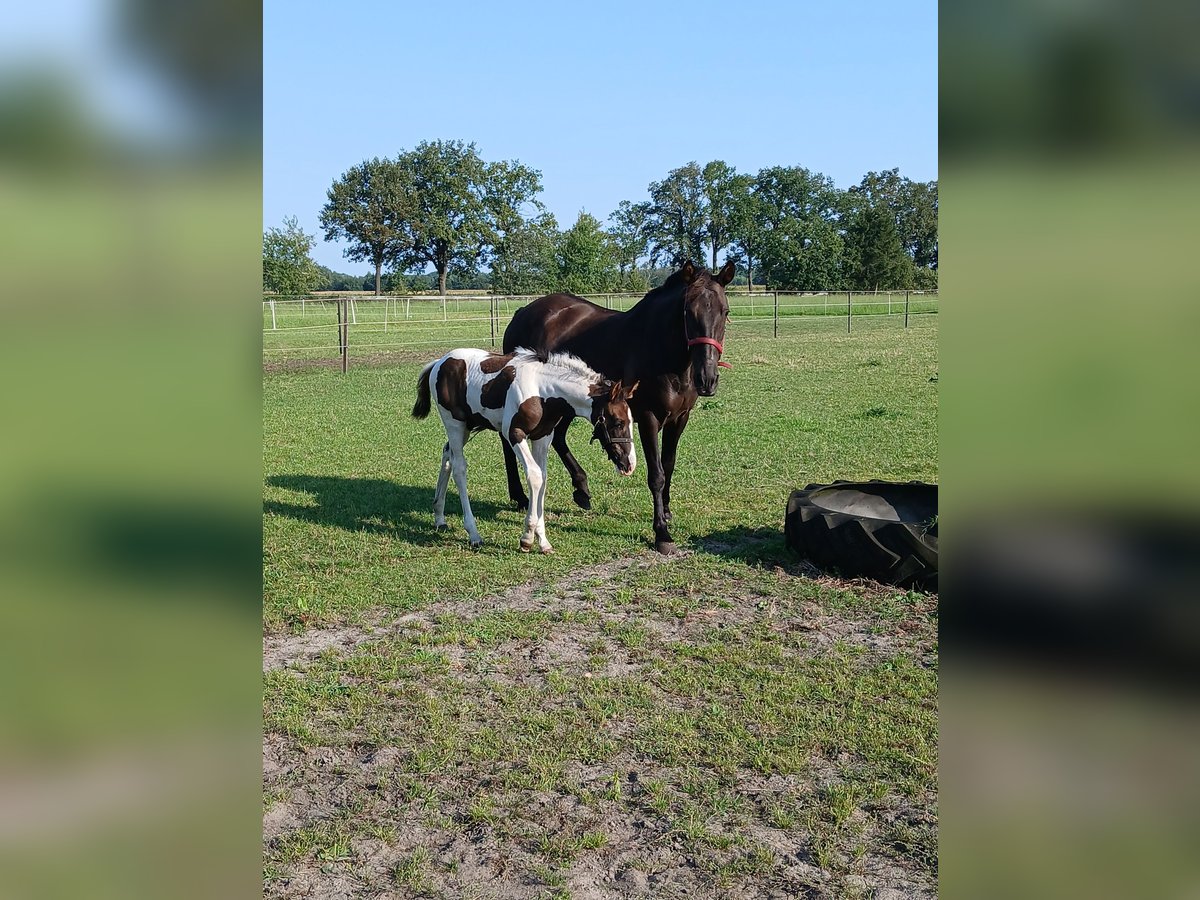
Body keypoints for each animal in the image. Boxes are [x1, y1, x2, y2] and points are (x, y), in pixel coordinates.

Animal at [412, 350, 638, 549]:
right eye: (618, 422)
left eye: (630, 421)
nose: (629, 464)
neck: (542, 390)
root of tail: (439, 362)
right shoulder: (514, 434)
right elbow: (534, 475)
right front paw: (527, 537)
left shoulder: (543, 436)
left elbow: (543, 477)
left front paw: (543, 540)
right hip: (454, 423)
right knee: (459, 467)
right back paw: (473, 534)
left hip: (468, 426)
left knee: (447, 454)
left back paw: (439, 517)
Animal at [501, 259, 734, 556]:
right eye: (688, 313)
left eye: (725, 312)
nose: (707, 379)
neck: (663, 354)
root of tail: (522, 312)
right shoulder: (647, 418)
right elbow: (656, 474)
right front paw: (661, 533)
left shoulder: (680, 418)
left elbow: (668, 465)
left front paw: (667, 512)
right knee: (509, 441)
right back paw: (520, 496)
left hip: (565, 402)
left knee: (559, 439)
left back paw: (581, 489)